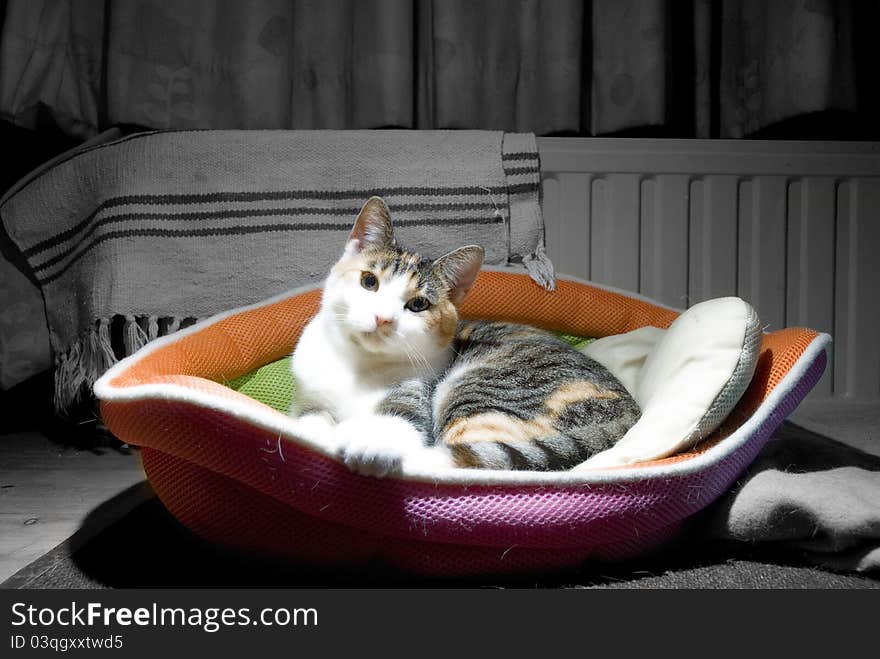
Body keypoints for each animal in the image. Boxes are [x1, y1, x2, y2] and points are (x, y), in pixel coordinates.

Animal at [292, 199, 644, 476]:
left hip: (480, 395)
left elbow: (401, 422)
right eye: (369, 281)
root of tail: (630, 414)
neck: (358, 364)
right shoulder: (308, 397)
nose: (383, 318)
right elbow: (310, 421)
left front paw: (370, 446)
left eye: (418, 305)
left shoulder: (417, 394)